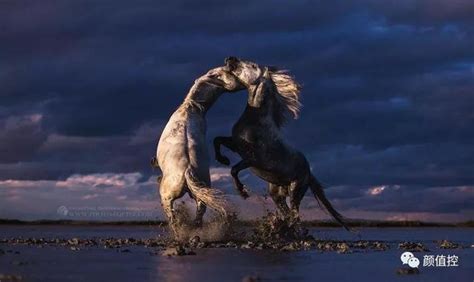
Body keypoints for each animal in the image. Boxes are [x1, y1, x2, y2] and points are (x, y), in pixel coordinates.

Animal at [155, 66, 244, 231]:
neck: (190, 109)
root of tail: (187, 170)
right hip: (200, 198)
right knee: (198, 218)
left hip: (167, 199)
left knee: (174, 220)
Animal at [214, 56, 348, 229]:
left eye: (253, 65)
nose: (230, 58)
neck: (255, 121)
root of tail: (308, 171)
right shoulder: (237, 146)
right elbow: (217, 140)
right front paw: (222, 159)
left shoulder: (252, 159)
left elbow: (234, 170)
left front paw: (242, 192)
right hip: (276, 192)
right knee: (286, 213)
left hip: (295, 189)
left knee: (294, 214)